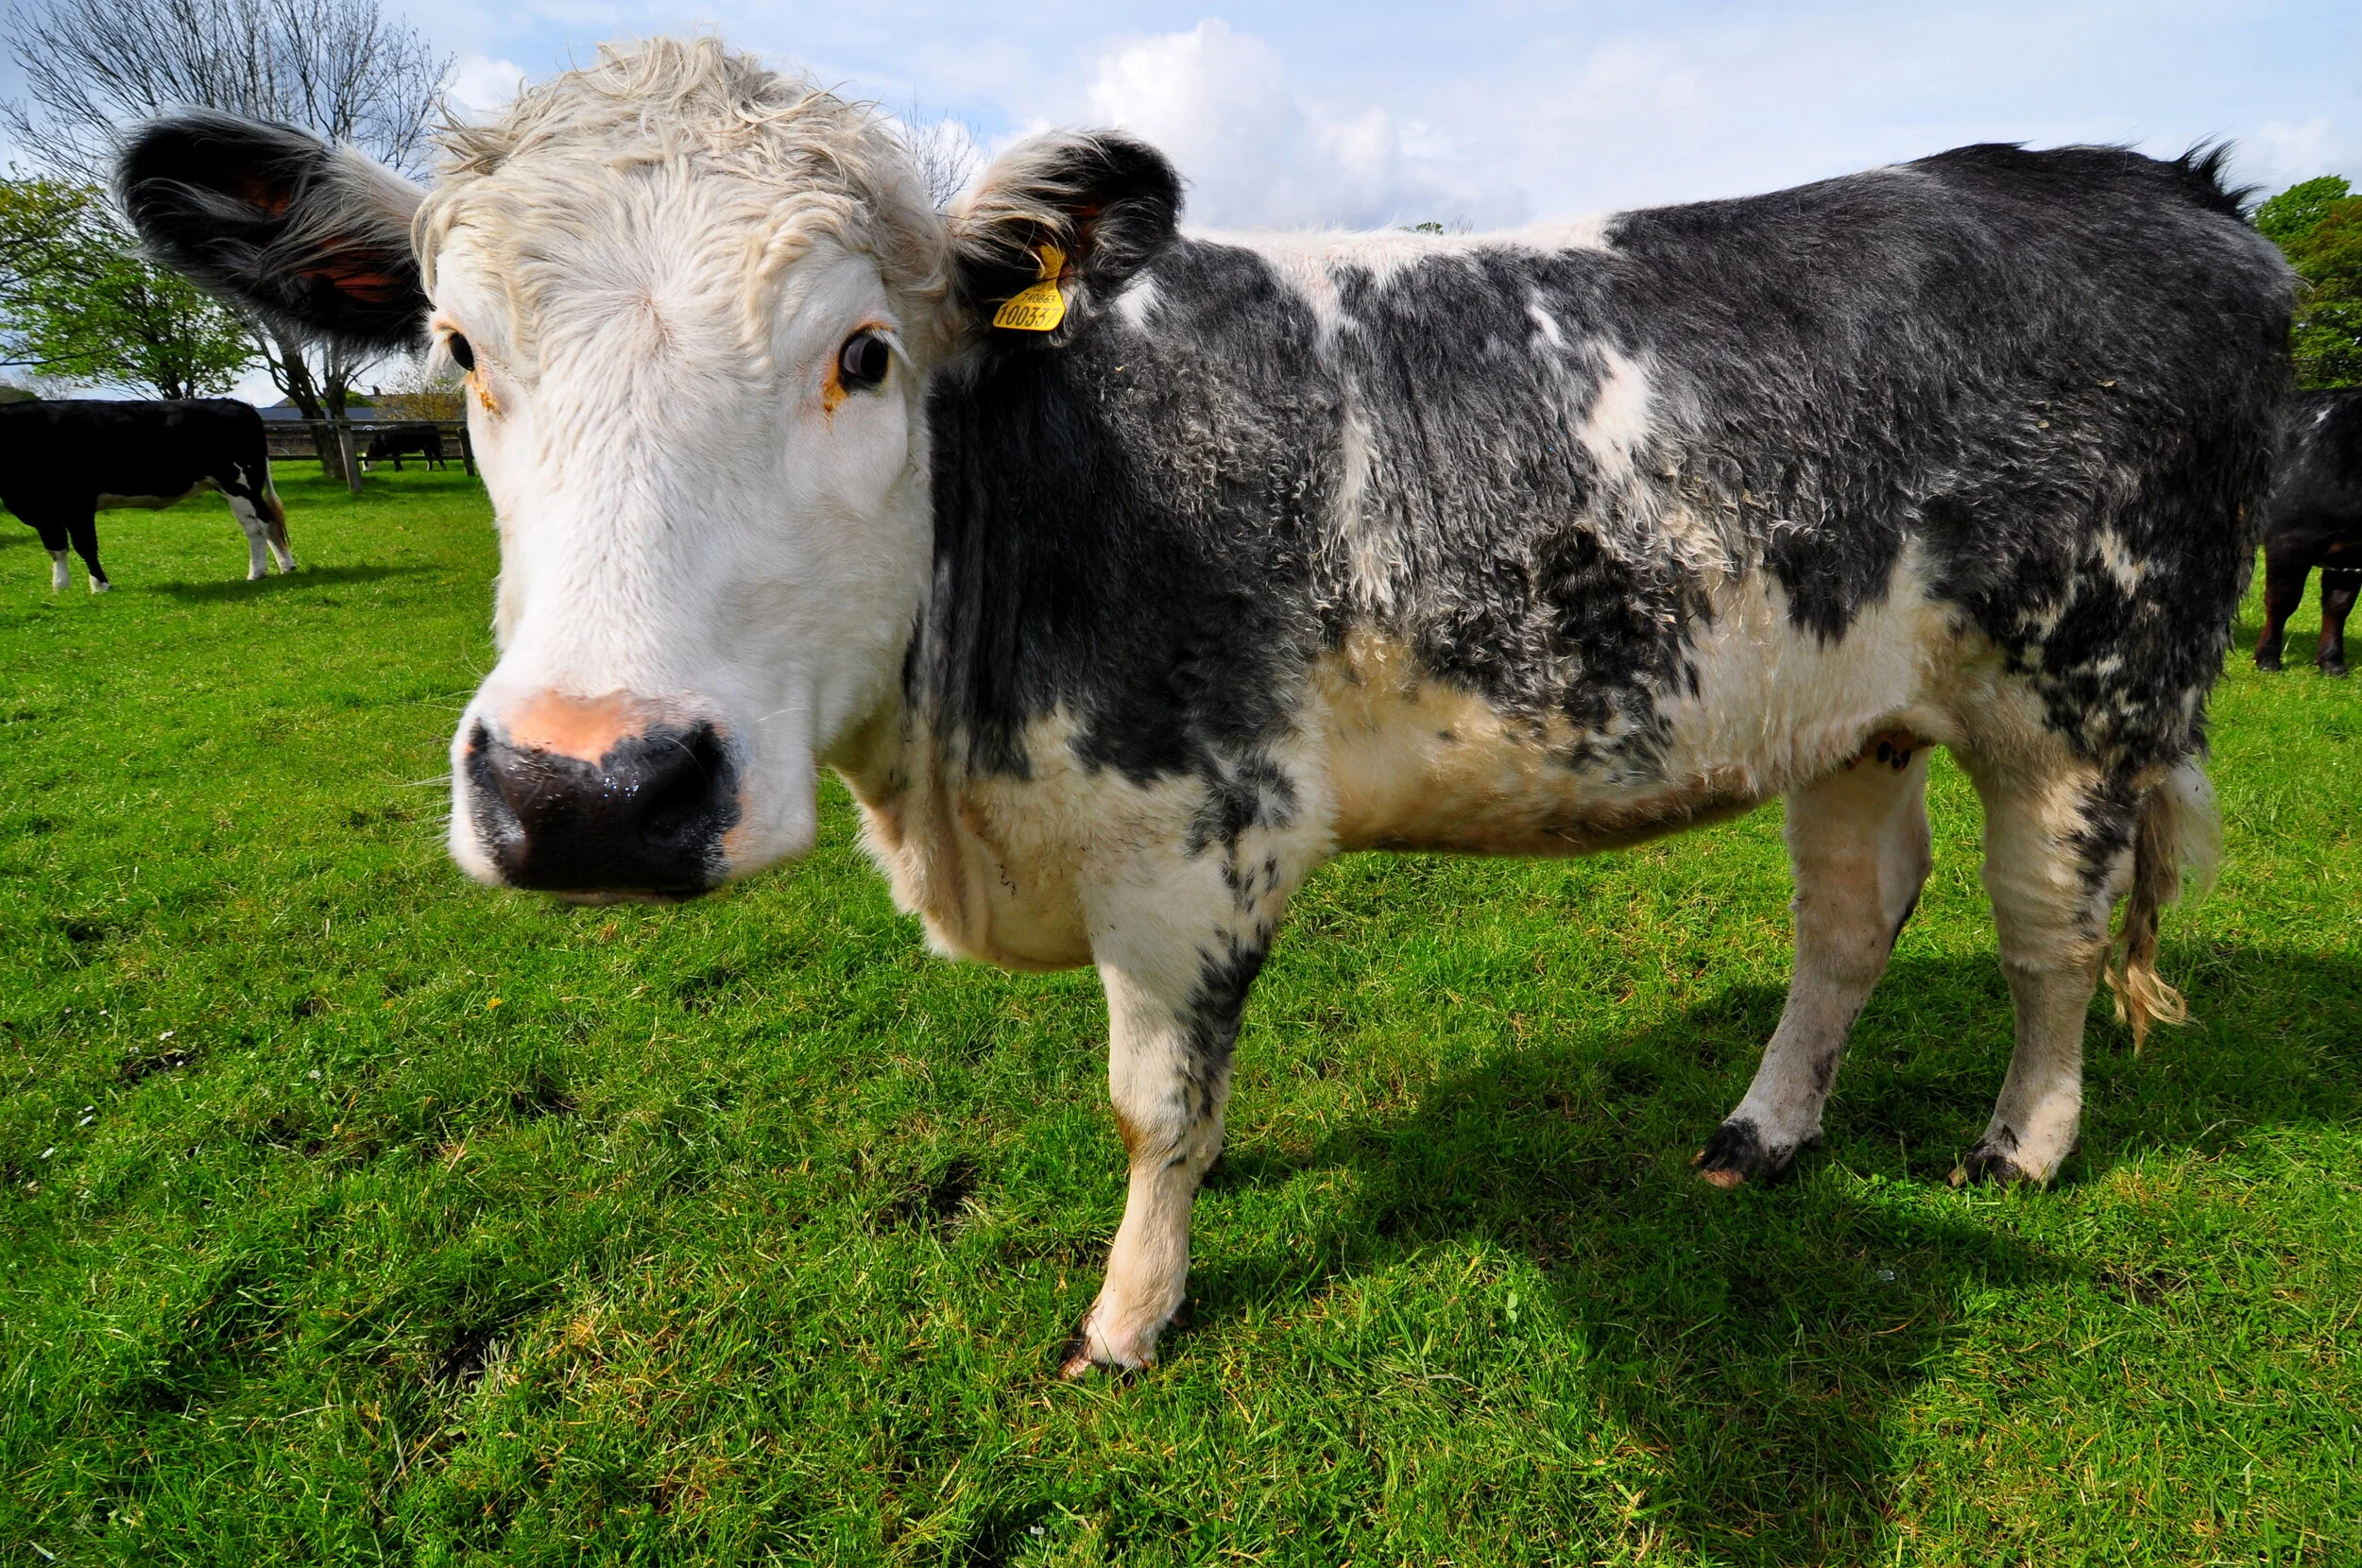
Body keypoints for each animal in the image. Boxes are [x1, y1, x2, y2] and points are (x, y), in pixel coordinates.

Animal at [0, 397, 295, 592]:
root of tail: (236, 403)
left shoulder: (78, 504)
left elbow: (85, 546)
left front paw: (100, 585)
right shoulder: (43, 512)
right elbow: (56, 548)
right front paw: (60, 587)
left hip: (238, 484)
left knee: (255, 527)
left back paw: (257, 572)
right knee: (269, 521)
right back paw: (285, 565)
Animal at [119, 40, 2291, 1376]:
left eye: (863, 356)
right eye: (460, 346)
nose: (589, 788)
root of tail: (2173, 190)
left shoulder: (1196, 838)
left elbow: (1152, 1101)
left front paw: (1130, 1307)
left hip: (2085, 689)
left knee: (2045, 930)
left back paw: (2022, 1143)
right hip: (1842, 706)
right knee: (1851, 915)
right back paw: (1761, 1131)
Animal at [2254, 388, 2362, 676]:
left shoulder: (2351, 553)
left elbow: (2339, 604)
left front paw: (2332, 663)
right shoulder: (2288, 539)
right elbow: (2282, 599)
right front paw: (2267, 659)